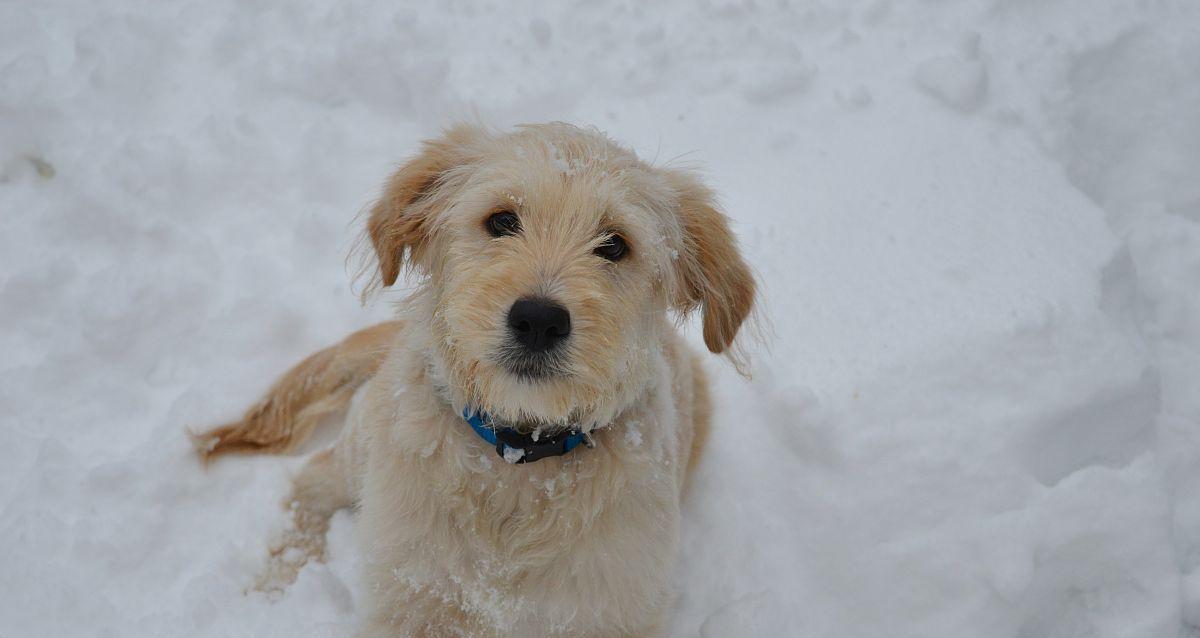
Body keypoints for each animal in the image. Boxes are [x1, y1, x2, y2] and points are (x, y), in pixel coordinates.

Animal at [192, 122, 753, 633]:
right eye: (501, 220)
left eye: (615, 245)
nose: (539, 320)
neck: (517, 456)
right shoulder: (411, 594)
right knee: (310, 482)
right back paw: (280, 581)